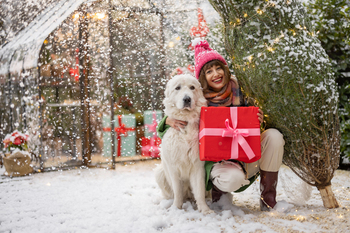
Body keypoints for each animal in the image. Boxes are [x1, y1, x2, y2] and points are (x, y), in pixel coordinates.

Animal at [156, 73, 213, 214]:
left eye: (192, 87)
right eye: (178, 88)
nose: (187, 99)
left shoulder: (198, 167)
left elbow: (199, 191)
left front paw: (205, 210)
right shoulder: (174, 168)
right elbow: (178, 192)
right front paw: (176, 208)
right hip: (159, 172)